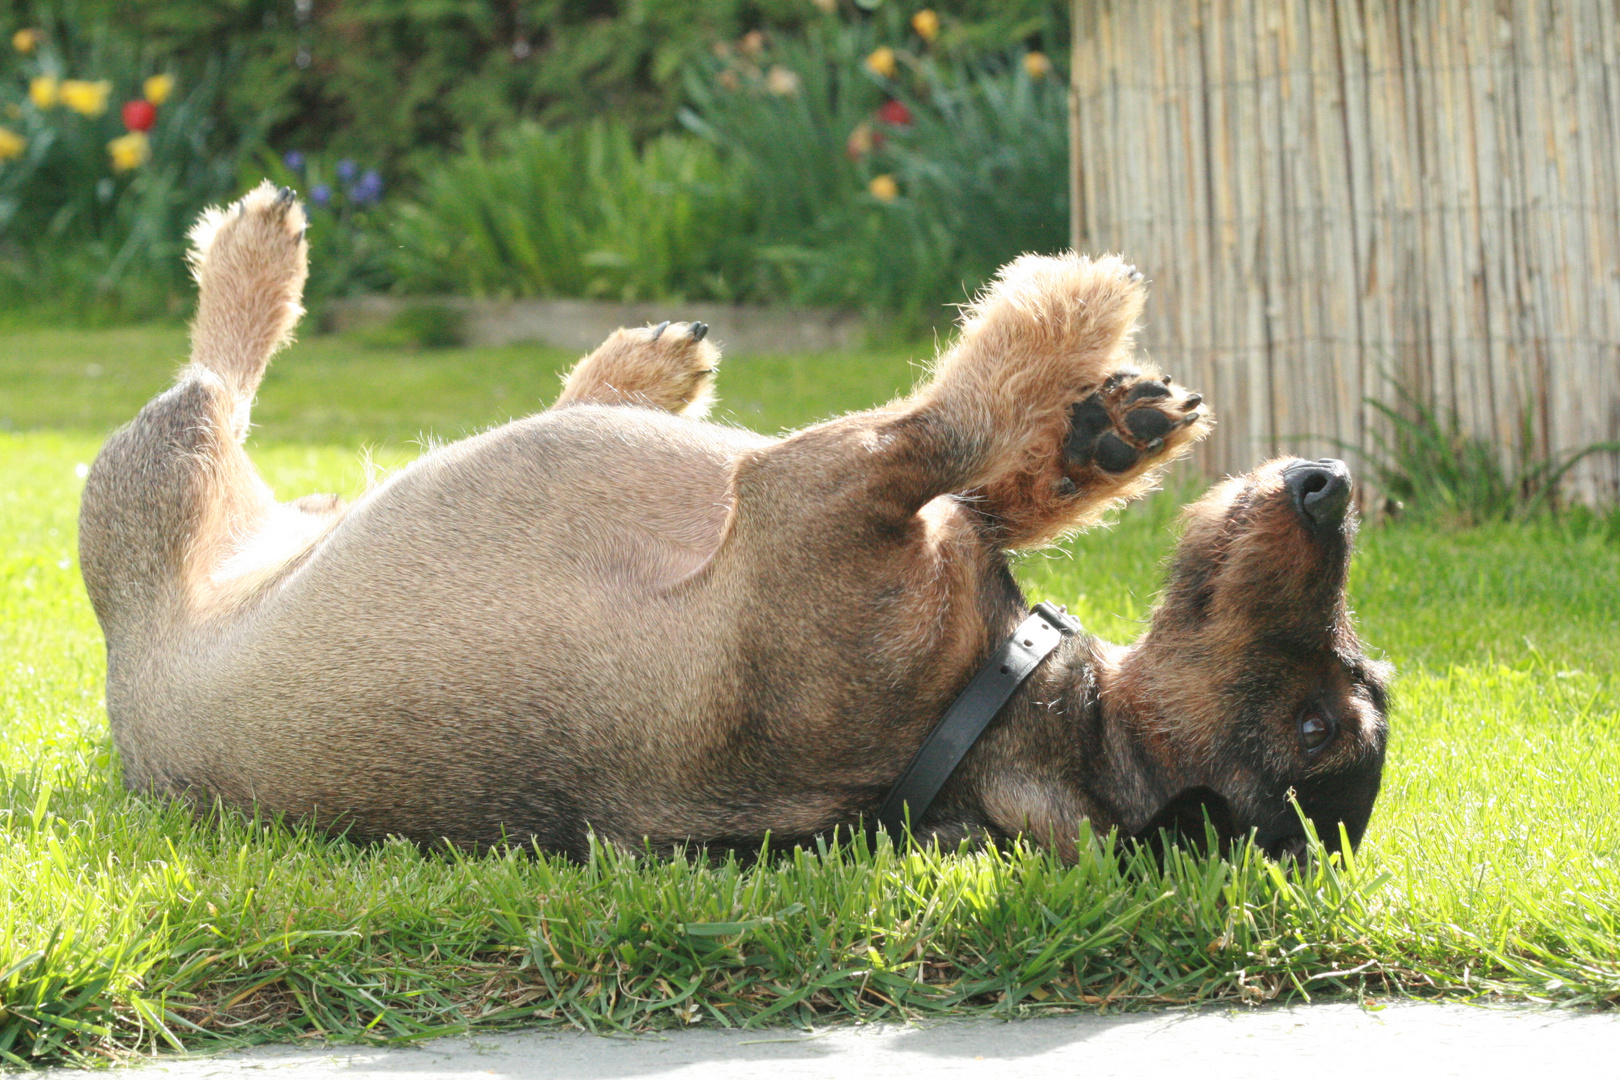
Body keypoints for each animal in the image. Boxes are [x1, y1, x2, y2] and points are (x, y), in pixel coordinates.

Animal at [78, 183, 1393, 861]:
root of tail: (126, 713)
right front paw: (1104, 433)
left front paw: (1066, 306)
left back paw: (257, 256)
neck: (990, 702)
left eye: (1320, 721)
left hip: (153, 469)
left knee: (219, 371)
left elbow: (947, 423)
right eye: (1368, 672)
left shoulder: (810, 486)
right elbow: (988, 474)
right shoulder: (883, 506)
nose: (1329, 486)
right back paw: (645, 368)